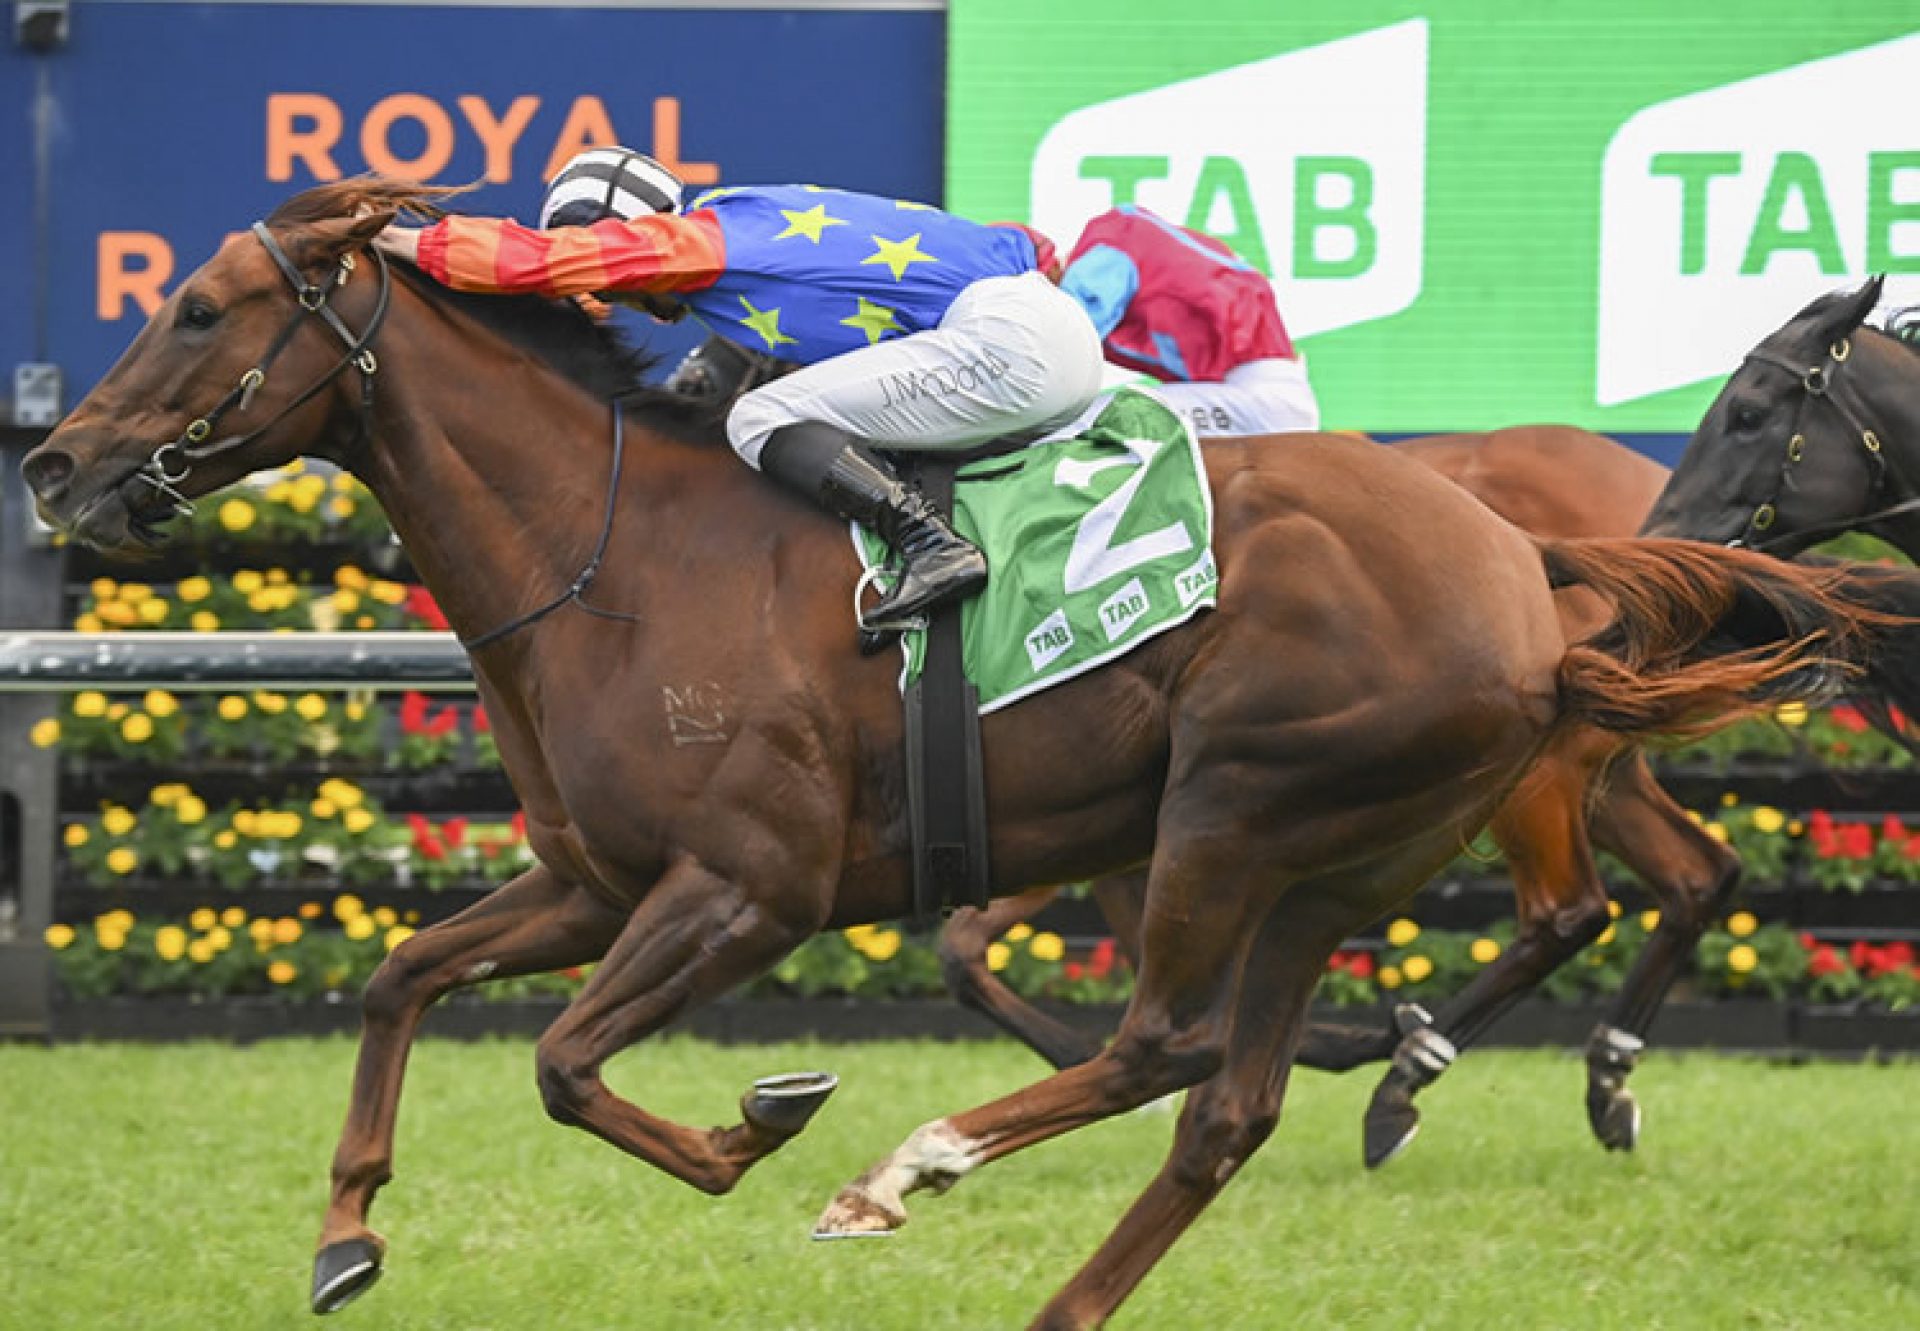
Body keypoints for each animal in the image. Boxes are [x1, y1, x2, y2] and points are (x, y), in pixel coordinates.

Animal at [22, 179, 1889, 1329]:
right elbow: (404, 975)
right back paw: (1101, 1263)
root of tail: (1524, 562)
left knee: (1164, 1043)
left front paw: (764, 1122)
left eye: (198, 308)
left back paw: (903, 1169)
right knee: (1230, 1103)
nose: (53, 464)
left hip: (1235, 802)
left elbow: (560, 1062)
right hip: (1330, 852)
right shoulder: (597, 881)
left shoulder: (749, 888)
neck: (616, 552)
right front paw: (345, 1233)